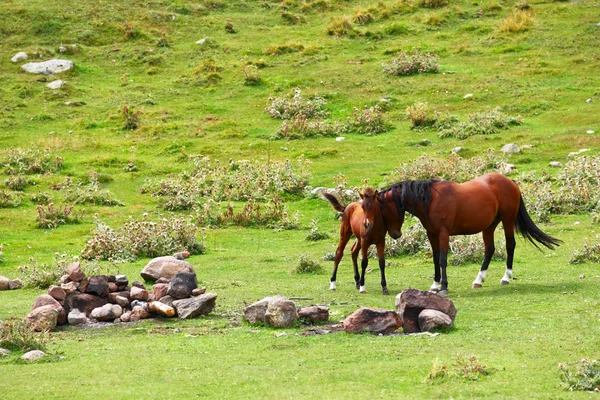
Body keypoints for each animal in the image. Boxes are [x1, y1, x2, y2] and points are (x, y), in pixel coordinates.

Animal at [378, 173, 560, 296]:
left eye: (383, 211)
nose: (395, 234)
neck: (430, 200)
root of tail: (510, 182)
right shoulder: (432, 234)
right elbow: (436, 260)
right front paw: (435, 285)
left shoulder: (443, 234)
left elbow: (443, 260)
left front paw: (443, 287)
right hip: (489, 226)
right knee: (489, 250)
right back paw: (479, 280)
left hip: (508, 220)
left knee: (510, 245)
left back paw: (506, 277)